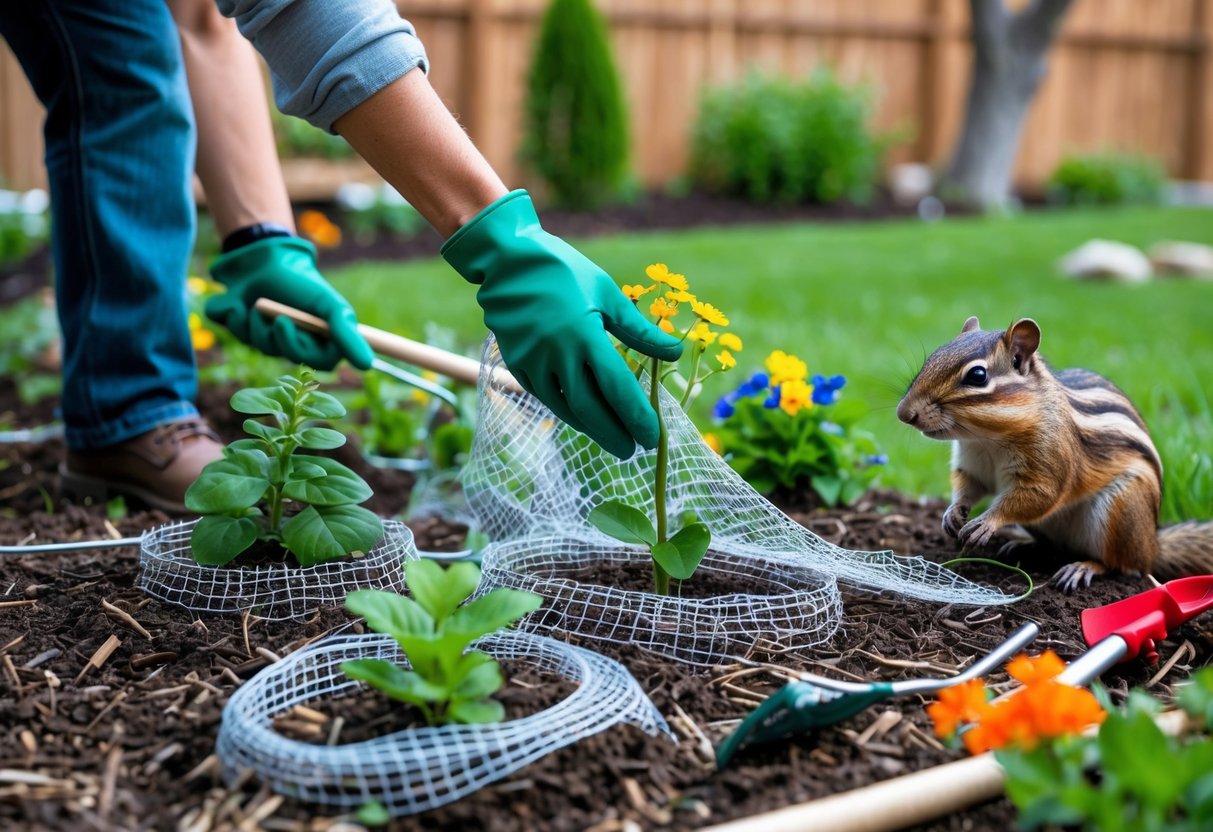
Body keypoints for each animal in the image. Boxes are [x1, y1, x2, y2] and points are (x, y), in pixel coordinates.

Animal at [896, 316, 1213, 591]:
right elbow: (969, 486)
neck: (987, 438)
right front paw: (953, 512)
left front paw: (987, 522)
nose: (903, 413)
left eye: (977, 375)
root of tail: (1153, 545)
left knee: (1122, 565)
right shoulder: (973, 464)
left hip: (1121, 512)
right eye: (933, 357)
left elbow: (1039, 496)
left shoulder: (1050, 462)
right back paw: (1023, 545)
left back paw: (1083, 567)